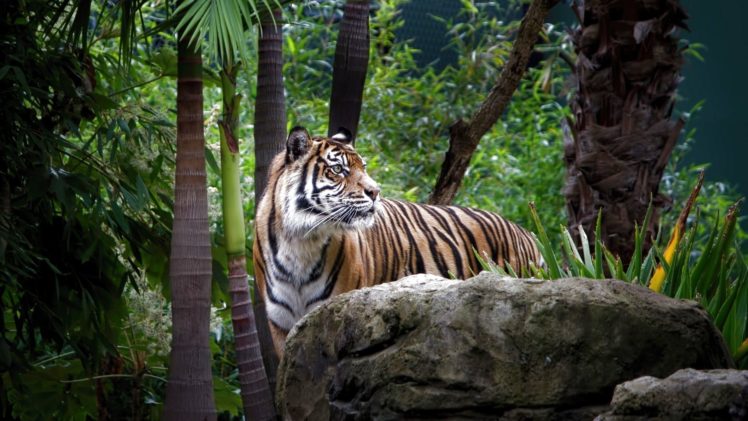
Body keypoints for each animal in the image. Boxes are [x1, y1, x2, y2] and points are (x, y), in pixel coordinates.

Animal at [253, 126, 542, 356]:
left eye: (363, 167)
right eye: (338, 170)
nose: (375, 191)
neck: (301, 240)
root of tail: (527, 233)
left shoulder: (333, 312)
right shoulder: (281, 326)